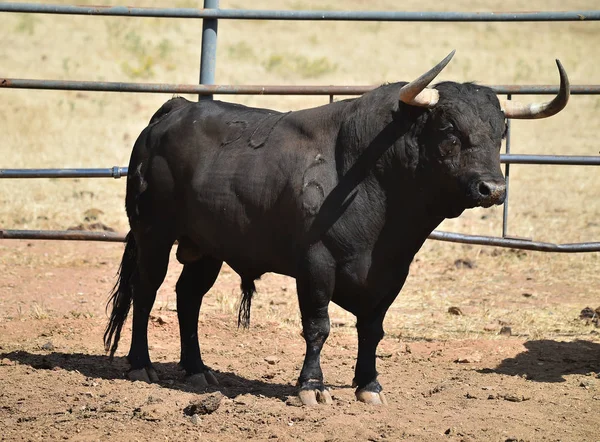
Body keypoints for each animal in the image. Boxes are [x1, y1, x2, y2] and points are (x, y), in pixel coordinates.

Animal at [104, 53, 572, 406]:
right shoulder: (316, 264)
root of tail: (176, 109)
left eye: (500, 132)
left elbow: (372, 329)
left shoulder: (392, 272)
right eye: (449, 130)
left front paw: (369, 385)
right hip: (153, 234)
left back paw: (197, 370)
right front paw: (311, 386)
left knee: (188, 298)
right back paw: (141, 364)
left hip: (207, 247)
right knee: (147, 291)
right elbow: (319, 326)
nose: (493, 188)